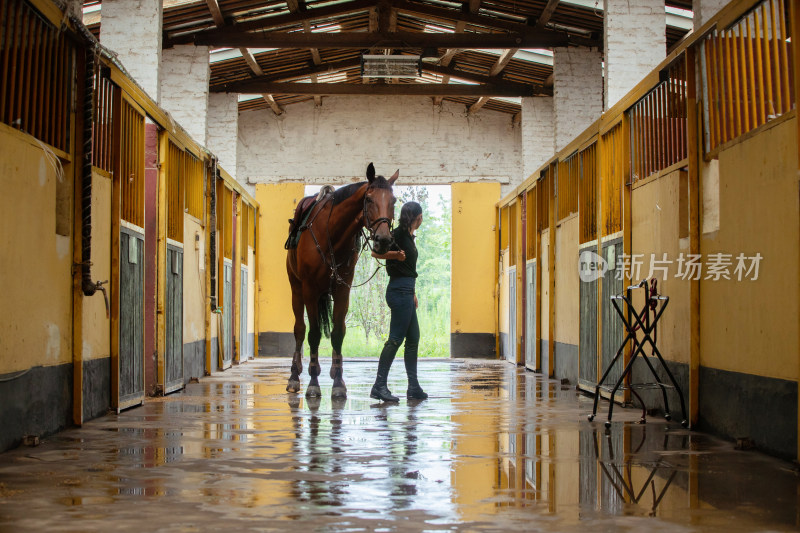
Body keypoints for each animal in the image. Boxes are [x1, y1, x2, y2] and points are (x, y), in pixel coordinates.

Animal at [288, 164, 400, 396]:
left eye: (393, 200)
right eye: (369, 199)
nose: (384, 240)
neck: (331, 234)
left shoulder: (342, 290)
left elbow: (338, 333)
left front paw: (338, 381)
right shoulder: (310, 290)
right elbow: (313, 334)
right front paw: (313, 382)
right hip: (296, 288)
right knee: (300, 330)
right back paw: (294, 375)